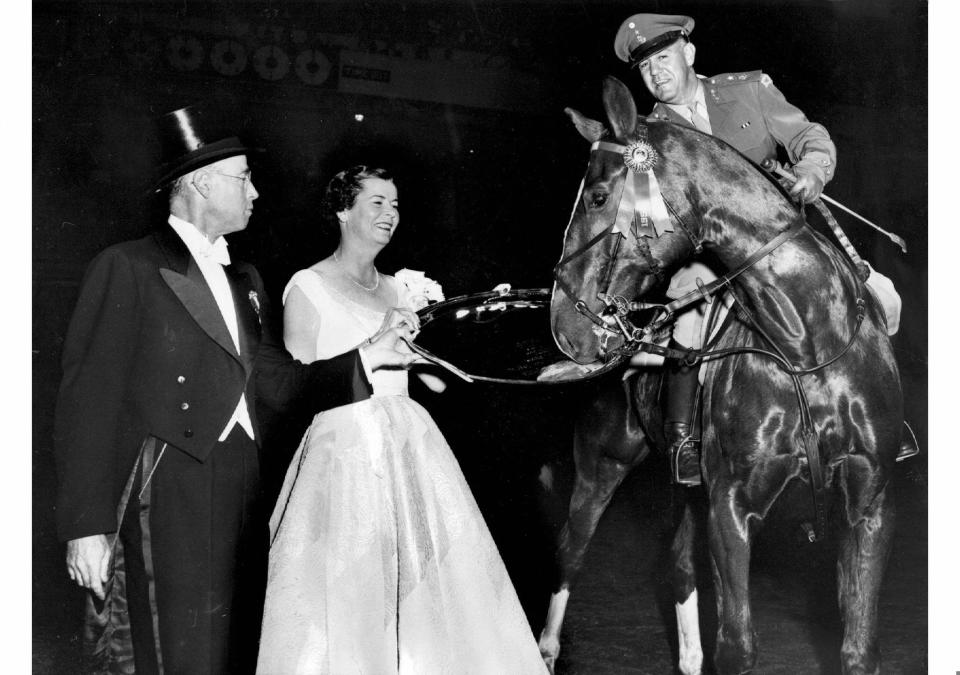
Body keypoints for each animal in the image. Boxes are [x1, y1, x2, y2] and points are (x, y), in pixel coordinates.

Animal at [544, 75, 904, 675]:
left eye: (597, 197)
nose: (564, 325)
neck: (806, 345)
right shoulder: (731, 507)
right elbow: (737, 646)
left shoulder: (869, 504)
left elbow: (858, 648)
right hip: (602, 463)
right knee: (570, 550)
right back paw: (546, 648)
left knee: (678, 569)